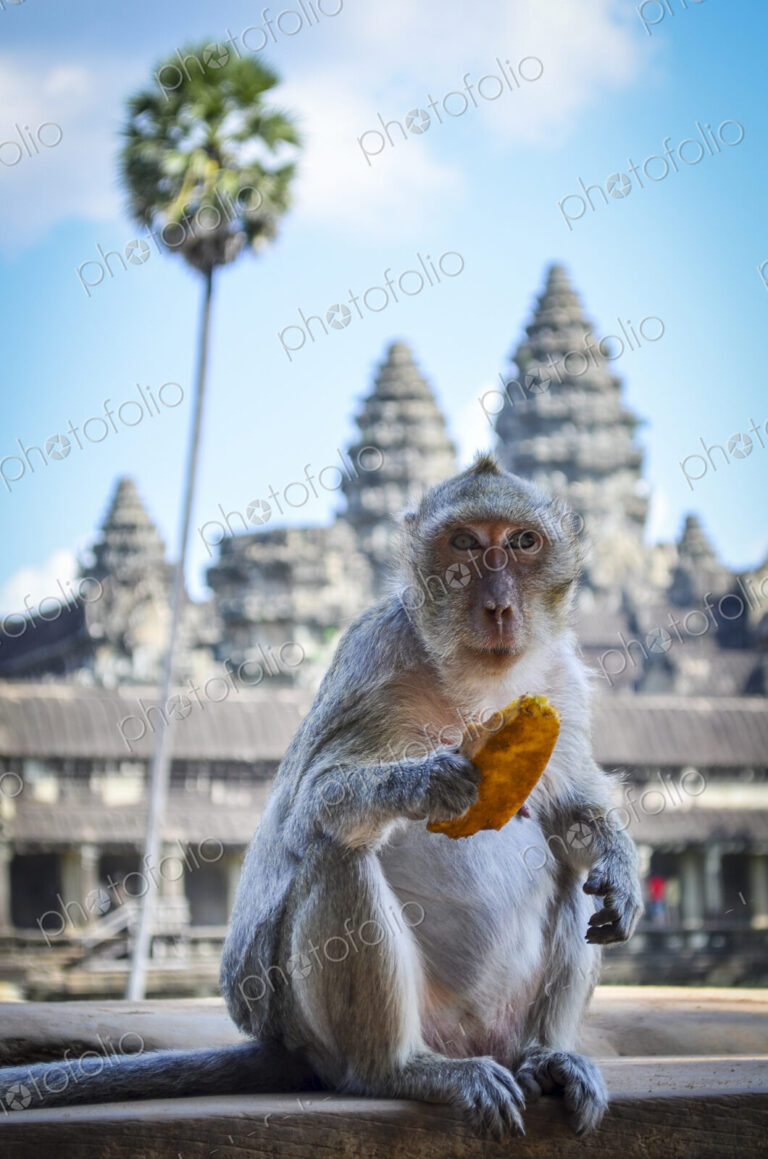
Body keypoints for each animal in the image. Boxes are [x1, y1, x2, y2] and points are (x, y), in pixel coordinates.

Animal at [0, 455, 642, 1139]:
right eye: (465, 544)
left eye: (523, 543)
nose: (498, 605)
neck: (478, 683)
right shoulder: (373, 657)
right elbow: (313, 804)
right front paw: (429, 783)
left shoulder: (562, 680)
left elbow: (570, 808)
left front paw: (620, 866)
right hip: (317, 1024)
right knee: (340, 855)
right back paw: (402, 1071)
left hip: (500, 1024)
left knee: (569, 870)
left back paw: (546, 1058)